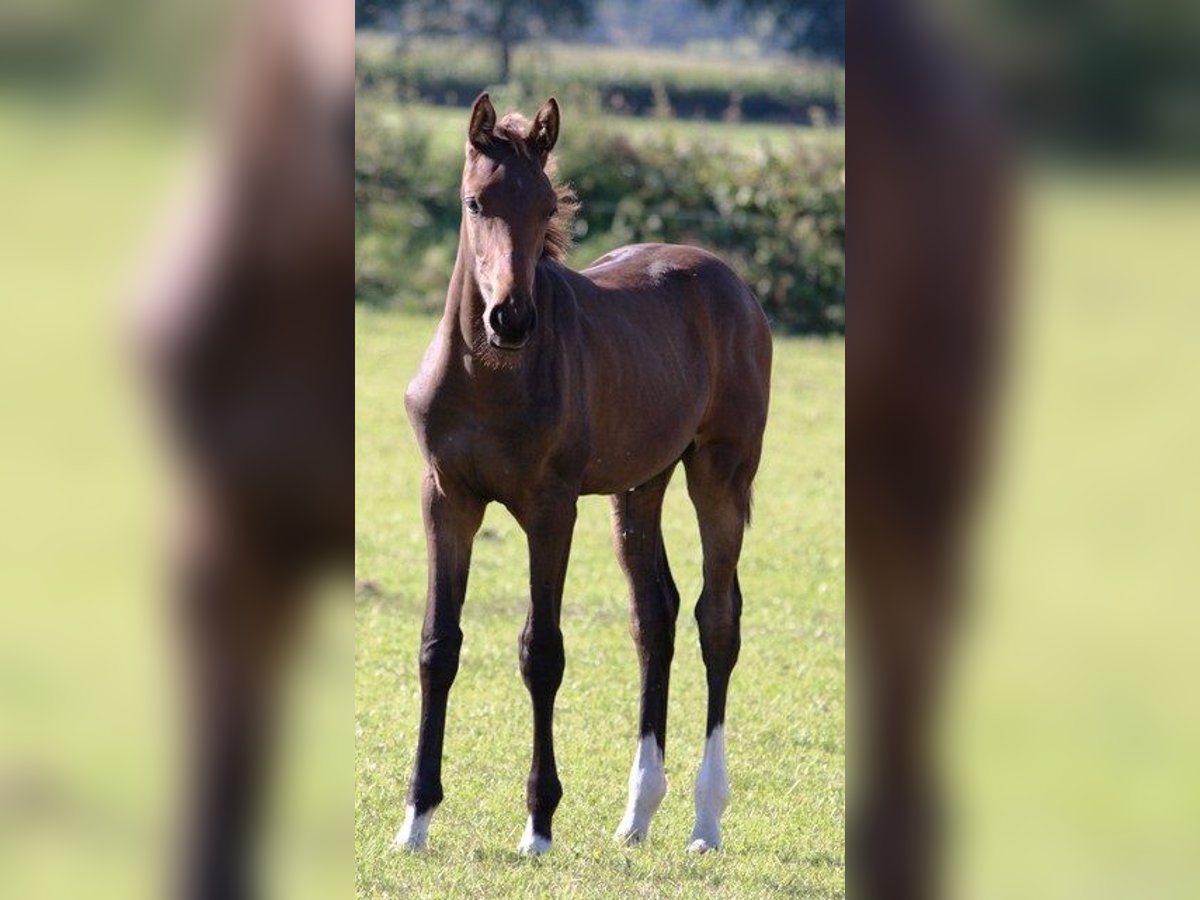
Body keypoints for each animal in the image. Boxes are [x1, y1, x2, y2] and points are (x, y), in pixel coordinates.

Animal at [394, 93, 772, 856]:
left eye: (546, 206)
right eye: (475, 202)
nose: (510, 319)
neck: (489, 377)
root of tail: (735, 286)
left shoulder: (551, 508)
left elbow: (542, 652)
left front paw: (538, 824)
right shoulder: (446, 499)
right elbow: (437, 646)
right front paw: (415, 819)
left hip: (720, 474)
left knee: (717, 617)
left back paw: (705, 820)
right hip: (640, 486)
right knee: (653, 616)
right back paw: (638, 814)